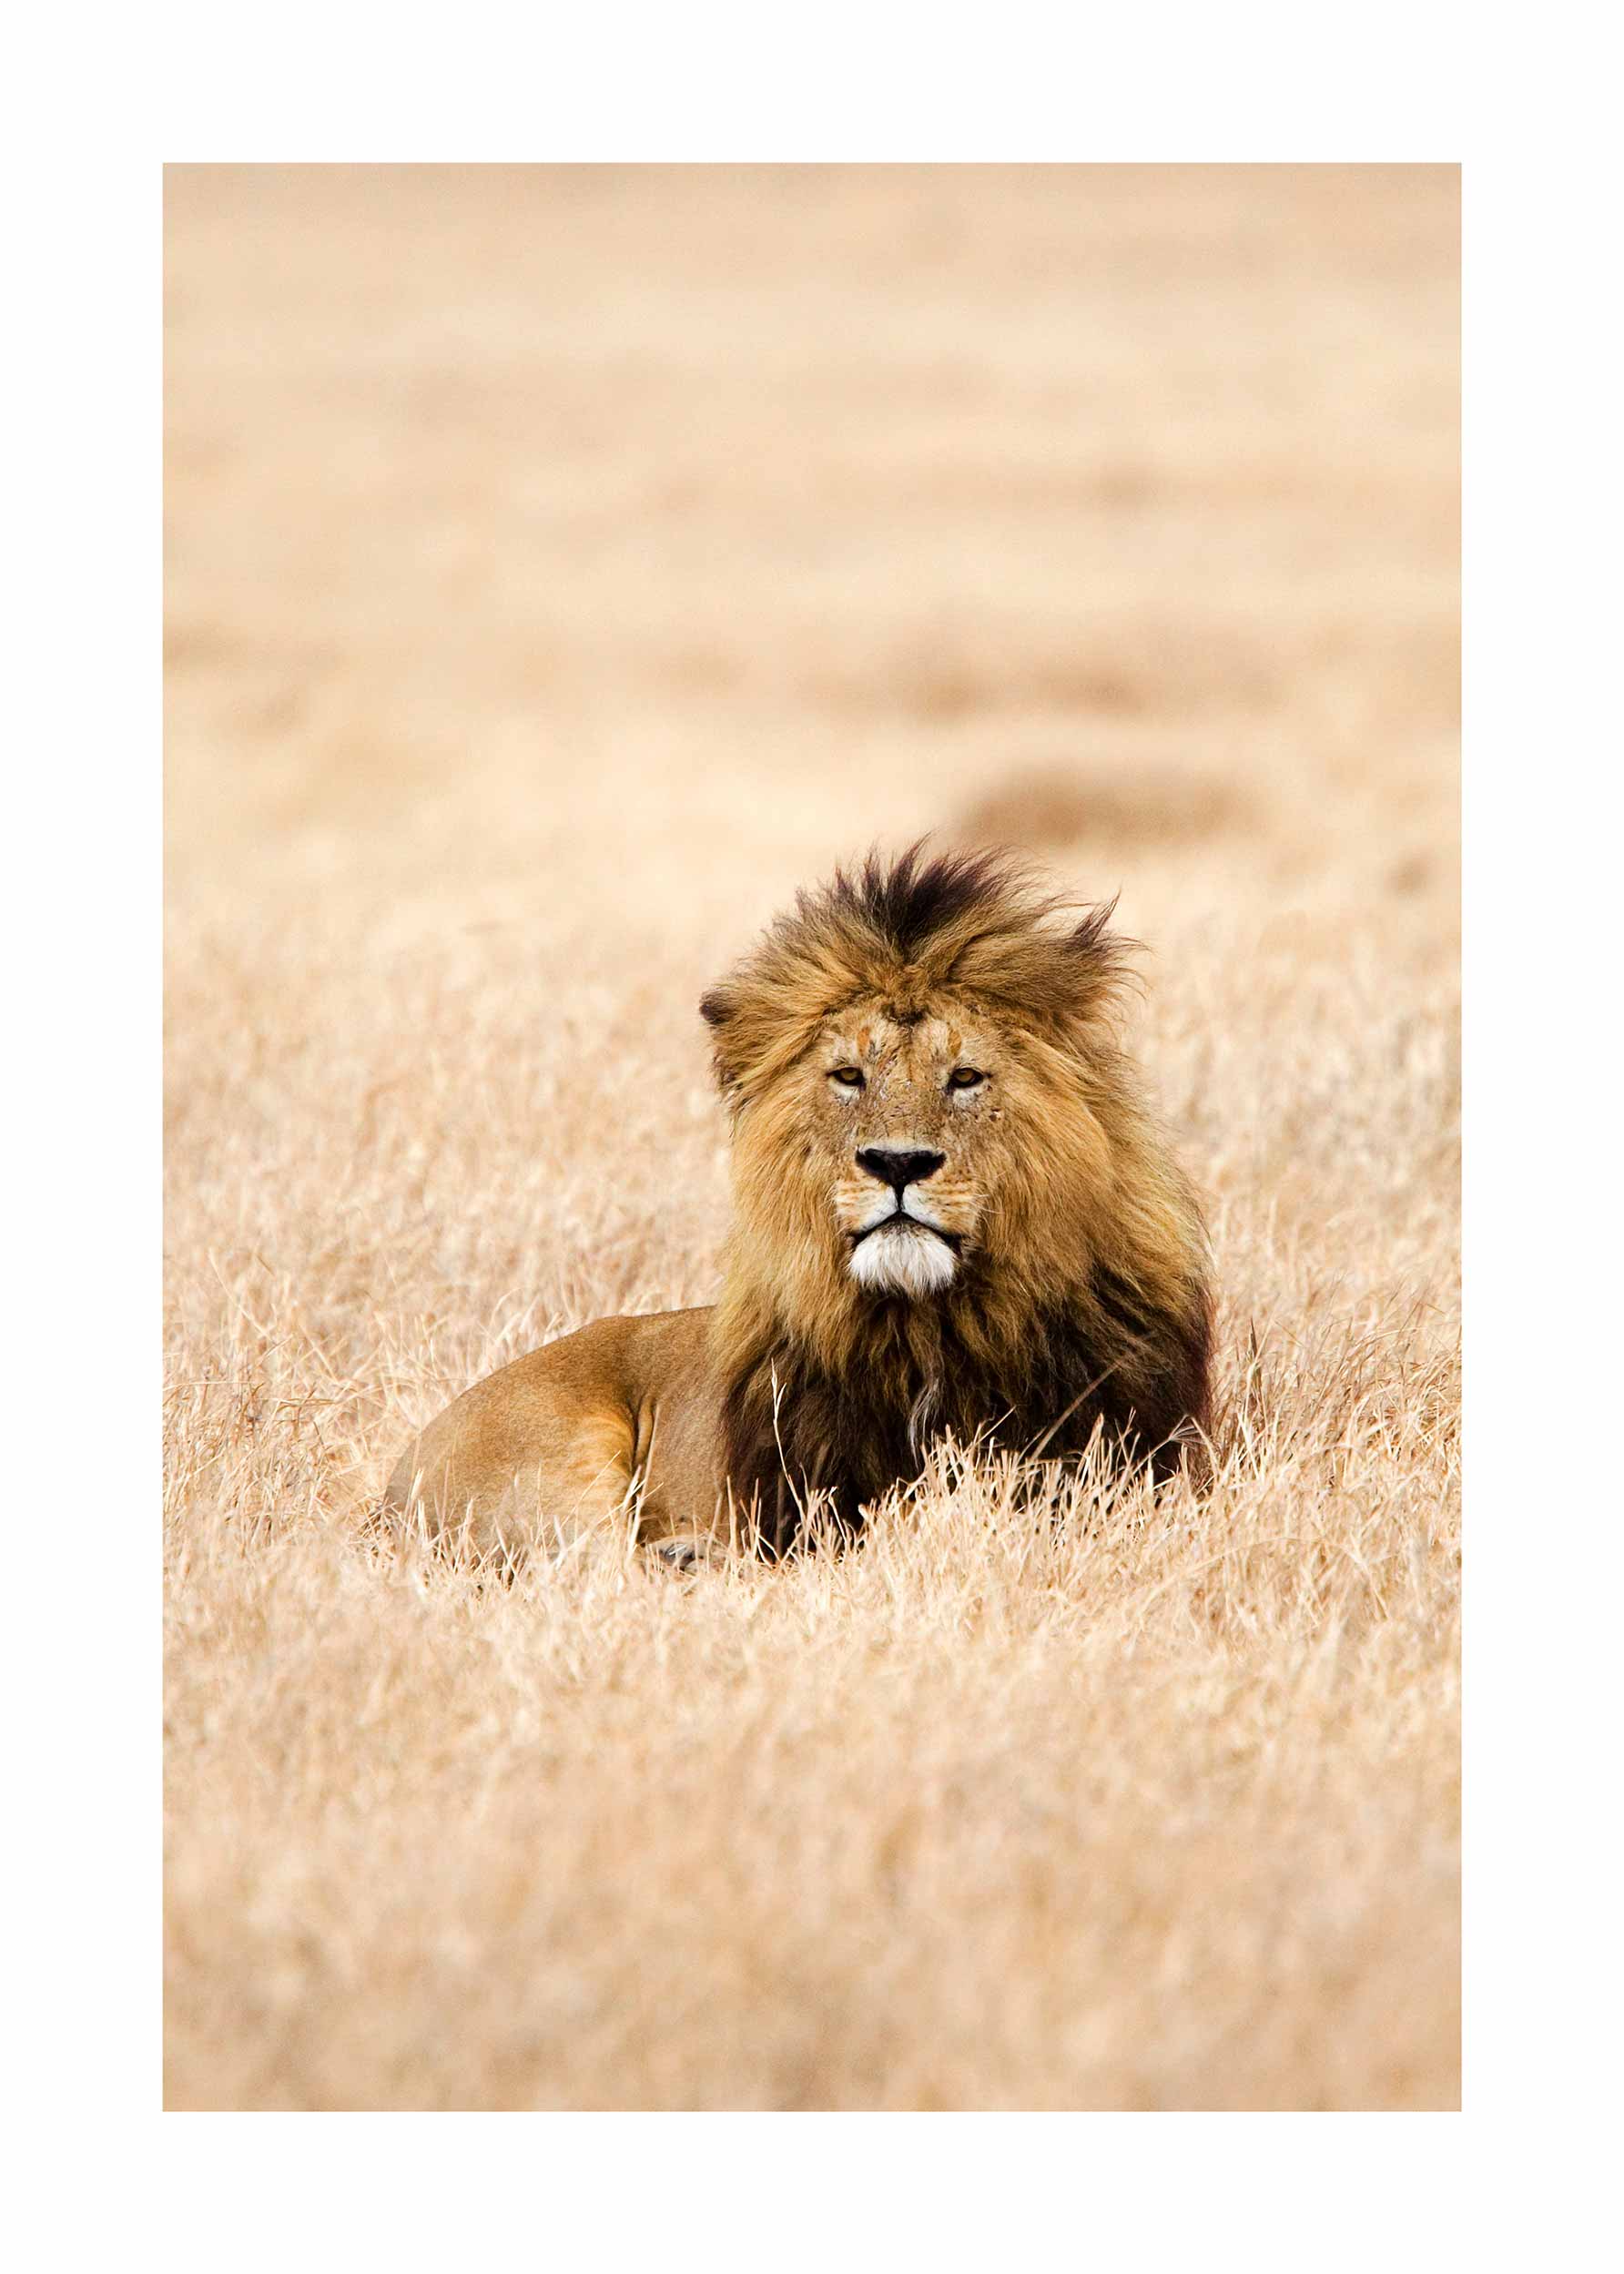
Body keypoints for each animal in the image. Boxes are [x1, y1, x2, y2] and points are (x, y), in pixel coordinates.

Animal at [382, 844, 1213, 1568]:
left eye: (965, 1077)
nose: (898, 1163)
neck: (936, 1328)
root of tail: (388, 1489)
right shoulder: (808, 1506)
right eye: (848, 1076)